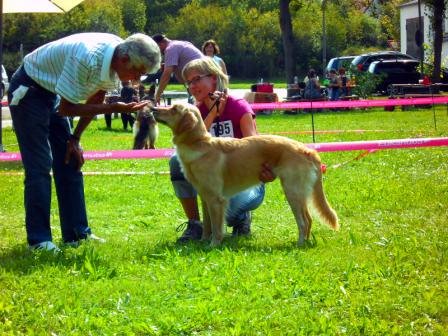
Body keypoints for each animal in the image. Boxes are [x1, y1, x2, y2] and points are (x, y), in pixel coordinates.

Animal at [152, 103, 338, 247]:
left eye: (174, 108)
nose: (153, 108)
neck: (199, 144)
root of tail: (309, 150)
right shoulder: (204, 197)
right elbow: (207, 224)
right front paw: (203, 242)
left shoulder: (216, 199)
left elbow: (217, 227)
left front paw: (213, 245)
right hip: (298, 193)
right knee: (309, 219)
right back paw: (305, 242)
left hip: (292, 191)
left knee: (304, 221)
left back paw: (299, 244)